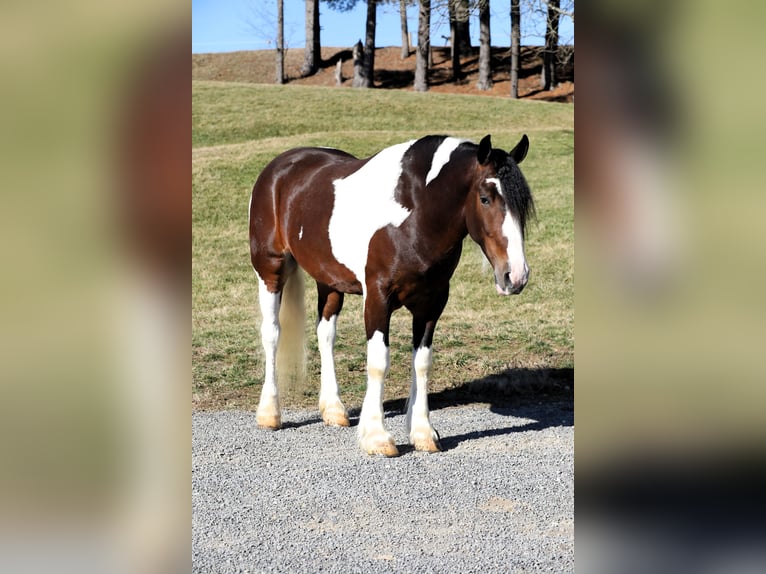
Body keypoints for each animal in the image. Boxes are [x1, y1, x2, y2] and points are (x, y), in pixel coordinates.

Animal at [249, 135, 536, 460]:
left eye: (522, 203)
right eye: (485, 198)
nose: (515, 276)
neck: (415, 212)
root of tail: (280, 166)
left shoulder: (431, 303)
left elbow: (422, 362)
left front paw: (423, 432)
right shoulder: (377, 298)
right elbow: (378, 361)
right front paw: (377, 437)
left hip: (329, 281)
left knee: (326, 334)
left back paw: (333, 409)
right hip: (270, 270)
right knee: (272, 334)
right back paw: (270, 413)